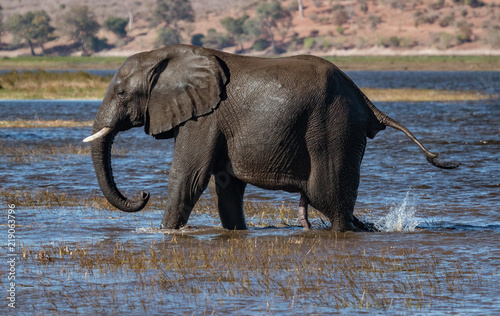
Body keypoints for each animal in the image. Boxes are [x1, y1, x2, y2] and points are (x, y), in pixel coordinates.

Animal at [83, 43, 458, 232]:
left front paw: (164, 234)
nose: (142, 194)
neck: (167, 56)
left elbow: (189, 178)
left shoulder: (204, 118)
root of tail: (366, 101)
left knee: (330, 198)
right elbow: (226, 185)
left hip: (334, 127)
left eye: (120, 93)